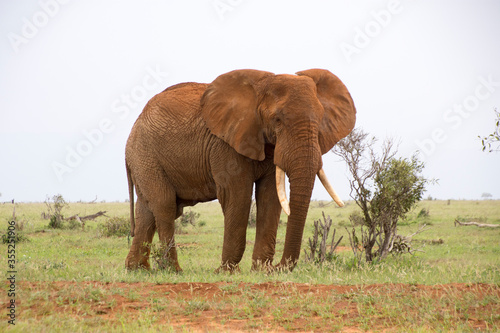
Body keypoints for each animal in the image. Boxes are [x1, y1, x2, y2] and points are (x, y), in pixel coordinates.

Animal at [125, 68, 358, 272]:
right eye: (277, 120)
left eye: (320, 119)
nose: (278, 268)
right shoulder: (225, 144)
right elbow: (237, 194)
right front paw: (227, 272)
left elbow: (270, 195)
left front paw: (261, 271)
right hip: (145, 155)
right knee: (164, 204)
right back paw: (173, 271)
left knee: (147, 210)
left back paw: (137, 270)